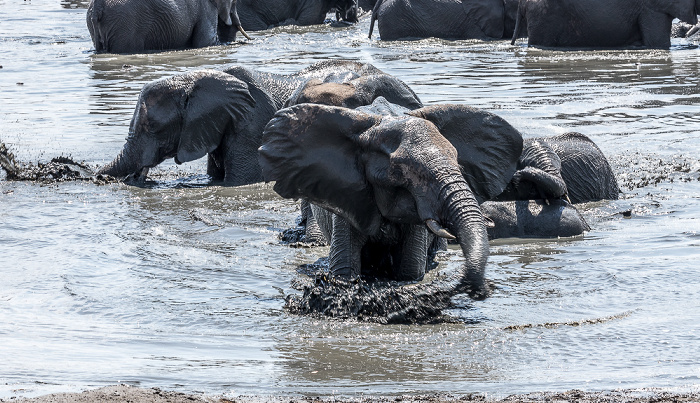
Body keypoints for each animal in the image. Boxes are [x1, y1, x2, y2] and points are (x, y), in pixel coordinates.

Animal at [260, 101, 524, 302]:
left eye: (458, 164)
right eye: (401, 171)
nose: (476, 290)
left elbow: (409, 271)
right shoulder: (350, 199)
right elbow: (344, 270)